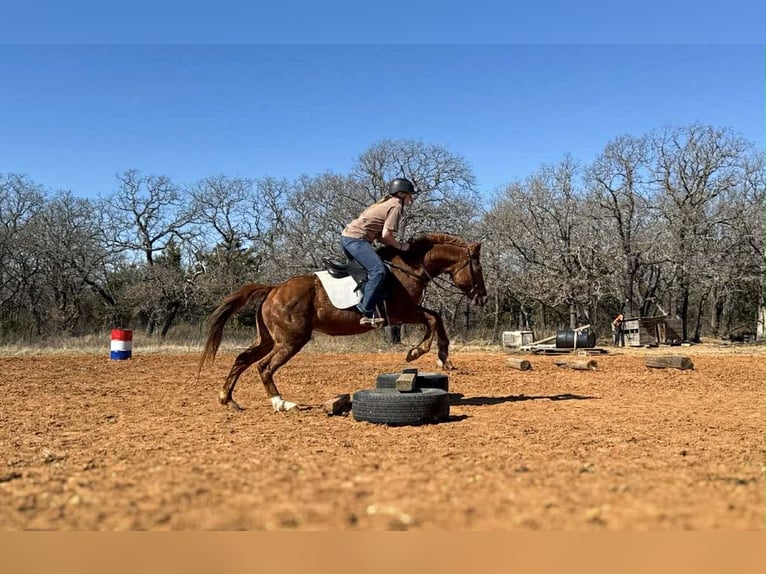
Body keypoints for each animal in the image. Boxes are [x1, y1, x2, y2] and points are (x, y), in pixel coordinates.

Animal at [197, 232, 487, 412]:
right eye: (478, 269)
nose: (483, 297)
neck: (409, 267)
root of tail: (273, 289)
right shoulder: (402, 312)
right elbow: (433, 318)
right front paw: (421, 352)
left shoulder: (406, 312)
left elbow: (435, 317)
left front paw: (439, 356)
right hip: (291, 340)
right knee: (264, 367)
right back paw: (282, 403)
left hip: (270, 339)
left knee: (243, 359)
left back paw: (227, 399)